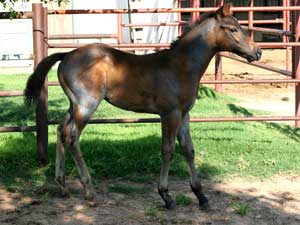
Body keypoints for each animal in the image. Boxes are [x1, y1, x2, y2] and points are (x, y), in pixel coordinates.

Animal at [25, 4, 260, 210]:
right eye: (233, 29)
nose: (257, 52)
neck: (181, 66)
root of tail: (66, 55)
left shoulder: (184, 114)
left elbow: (188, 149)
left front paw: (201, 196)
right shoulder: (170, 114)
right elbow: (168, 150)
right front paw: (166, 196)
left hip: (73, 105)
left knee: (60, 130)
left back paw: (63, 186)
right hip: (86, 105)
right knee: (72, 137)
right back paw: (89, 192)